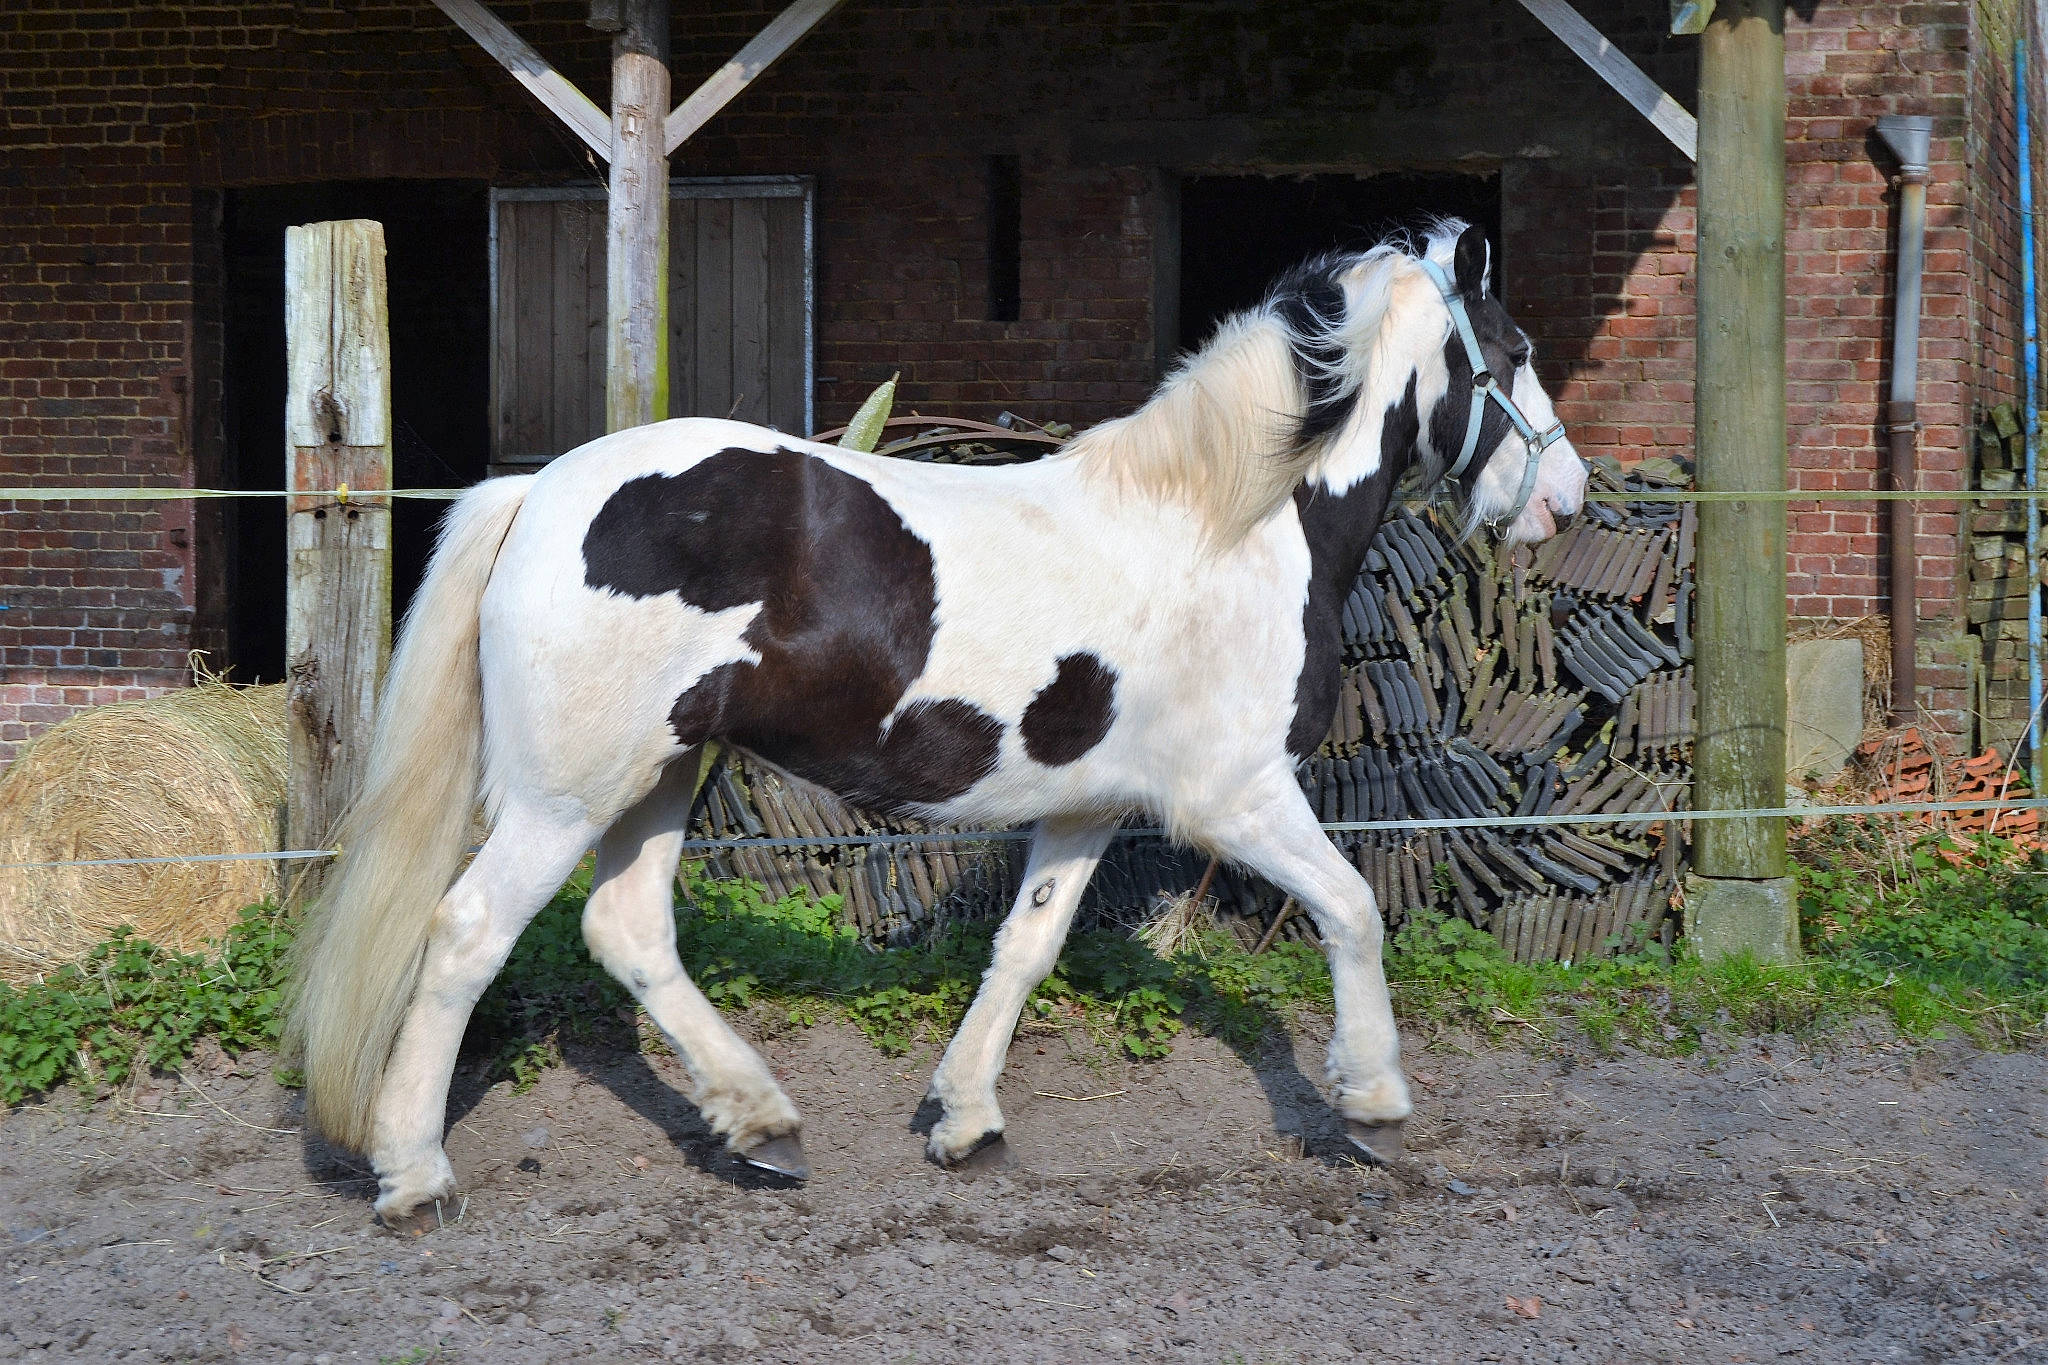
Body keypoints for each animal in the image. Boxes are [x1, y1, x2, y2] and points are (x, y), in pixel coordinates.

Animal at [288, 221, 1587, 1225]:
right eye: (1516, 350)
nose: (1563, 500)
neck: (1233, 525)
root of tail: (538, 491)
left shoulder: (1086, 809)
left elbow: (1023, 948)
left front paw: (964, 1121)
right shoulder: (1238, 798)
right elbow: (1352, 910)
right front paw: (1372, 1105)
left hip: (660, 773)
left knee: (628, 931)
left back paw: (762, 1125)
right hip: (568, 794)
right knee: (467, 936)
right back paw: (415, 1175)